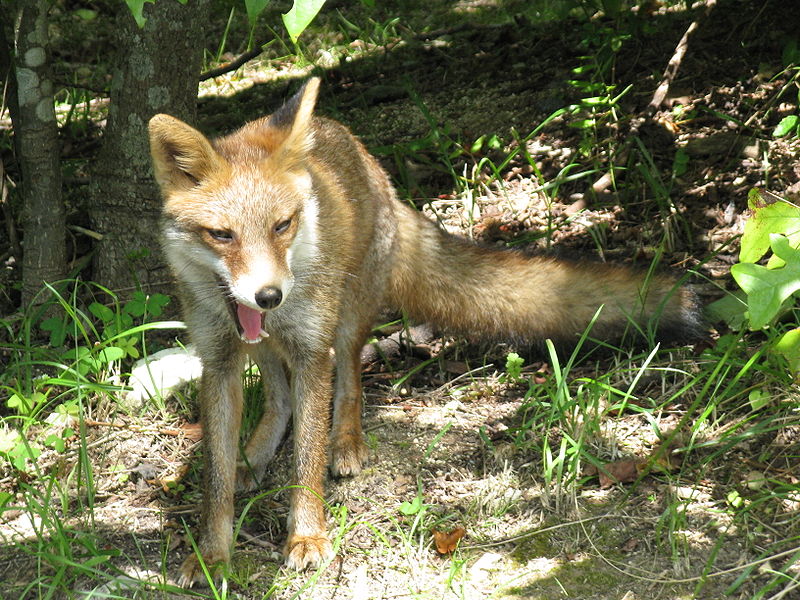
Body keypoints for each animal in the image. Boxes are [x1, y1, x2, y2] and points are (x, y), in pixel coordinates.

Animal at [147, 76, 696, 584]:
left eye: (282, 225)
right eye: (222, 235)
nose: (269, 296)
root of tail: (360, 150)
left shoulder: (310, 349)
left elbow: (307, 460)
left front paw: (307, 537)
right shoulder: (218, 358)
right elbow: (217, 480)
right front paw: (212, 555)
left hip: (344, 319)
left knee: (348, 382)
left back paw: (345, 444)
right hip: (264, 343)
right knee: (280, 400)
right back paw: (256, 455)